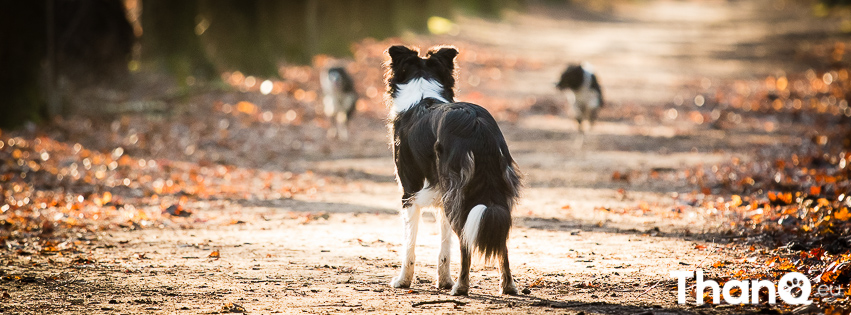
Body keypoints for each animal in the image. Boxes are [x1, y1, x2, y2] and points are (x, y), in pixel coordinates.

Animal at [384, 45, 520, 298]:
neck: (422, 92)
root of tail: (477, 126)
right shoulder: (441, 197)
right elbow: (444, 245)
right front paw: (444, 280)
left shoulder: (409, 193)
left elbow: (409, 244)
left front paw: (403, 281)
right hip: (489, 194)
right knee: (501, 237)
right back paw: (507, 285)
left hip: (457, 190)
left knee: (466, 240)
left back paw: (461, 286)